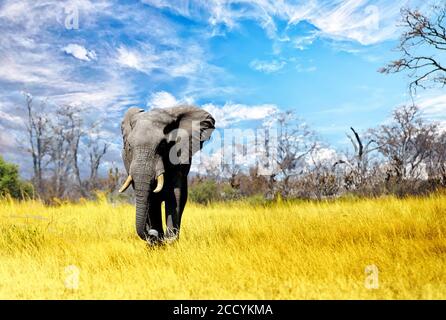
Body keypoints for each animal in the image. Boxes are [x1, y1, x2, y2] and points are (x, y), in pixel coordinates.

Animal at [118, 104, 216, 244]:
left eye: (163, 146)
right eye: (129, 147)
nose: (151, 233)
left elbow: (175, 196)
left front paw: (170, 241)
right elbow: (152, 199)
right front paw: (157, 242)